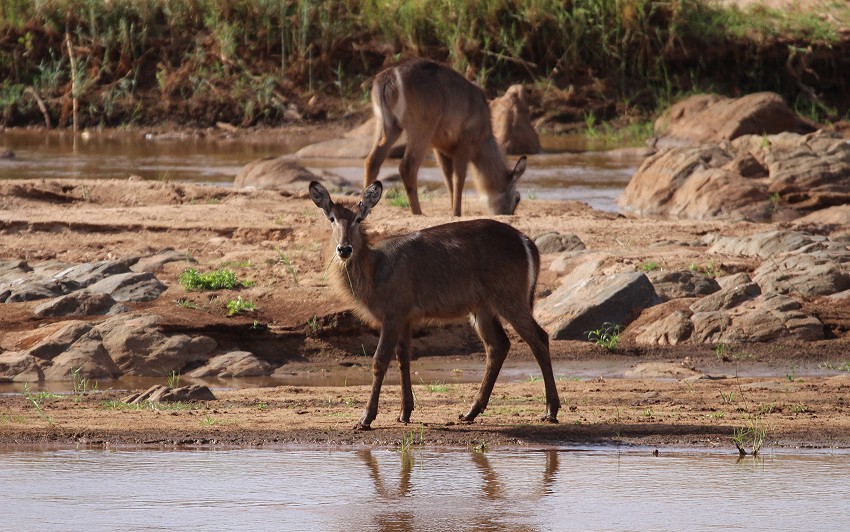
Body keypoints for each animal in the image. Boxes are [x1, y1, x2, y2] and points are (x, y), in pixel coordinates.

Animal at [308, 181, 560, 430]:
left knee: (539, 338)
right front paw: (404, 413)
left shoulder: (393, 315)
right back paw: (470, 413)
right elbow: (403, 359)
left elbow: (380, 360)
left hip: (510, 300)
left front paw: (366, 418)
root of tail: (526, 241)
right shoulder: (406, 318)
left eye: (359, 218)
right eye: (331, 218)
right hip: (483, 309)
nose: (344, 249)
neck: (375, 267)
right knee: (498, 346)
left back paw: (551, 410)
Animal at [362, 57, 524, 216]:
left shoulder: (439, 148)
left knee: (372, 161)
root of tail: (388, 76)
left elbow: (448, 179)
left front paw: (452, 210)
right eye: (517, 198)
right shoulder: (465, 143)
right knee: (407, 167)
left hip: (388, 126)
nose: (508, 214)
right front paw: (457, 213)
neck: (484, 138)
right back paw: (418, 212)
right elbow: (458, 179)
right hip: (420, 129)